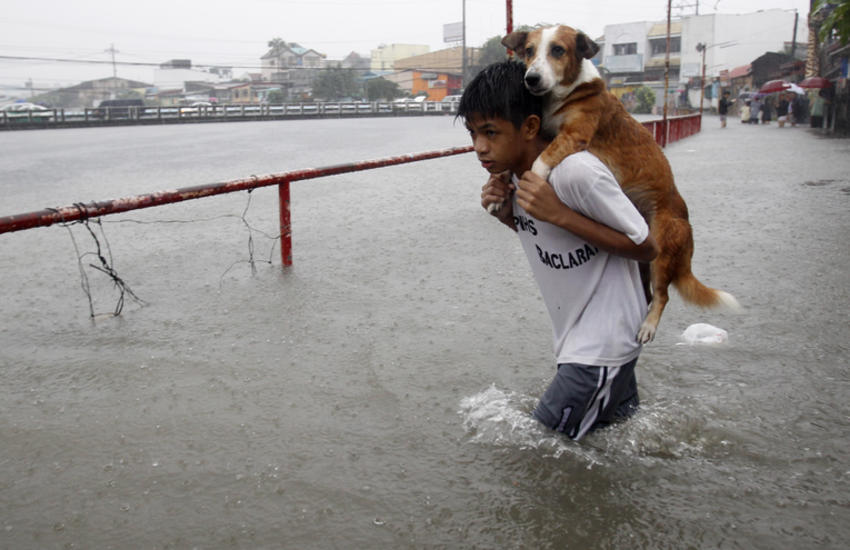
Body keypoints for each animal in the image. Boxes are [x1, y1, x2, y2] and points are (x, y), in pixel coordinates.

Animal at [504, 27, 736, 344]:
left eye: (558, 50)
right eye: (529, 50)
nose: (531, 79)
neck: (567, 93)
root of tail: (687, 226)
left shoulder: (574, 135)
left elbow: (541, 160)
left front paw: (534, 180)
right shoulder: (547, 131)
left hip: (661, 253)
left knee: (663, 296)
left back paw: (648, 326)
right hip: (644, 263)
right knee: (648, 292)